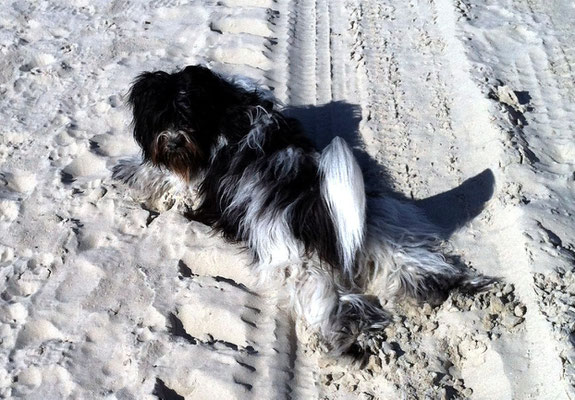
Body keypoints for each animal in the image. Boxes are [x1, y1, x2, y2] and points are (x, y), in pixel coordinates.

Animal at [113, 65, 496, 356]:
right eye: (162, 117)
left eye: (186, 118)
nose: (174, 140)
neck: (223, 109)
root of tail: (317, 203)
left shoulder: (192, 180)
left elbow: (157, 176)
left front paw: (125, 170)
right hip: (384, 230)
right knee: (418, 265)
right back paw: (465, 287)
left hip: (299, 262)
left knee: (333, 304)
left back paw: (349, 341)